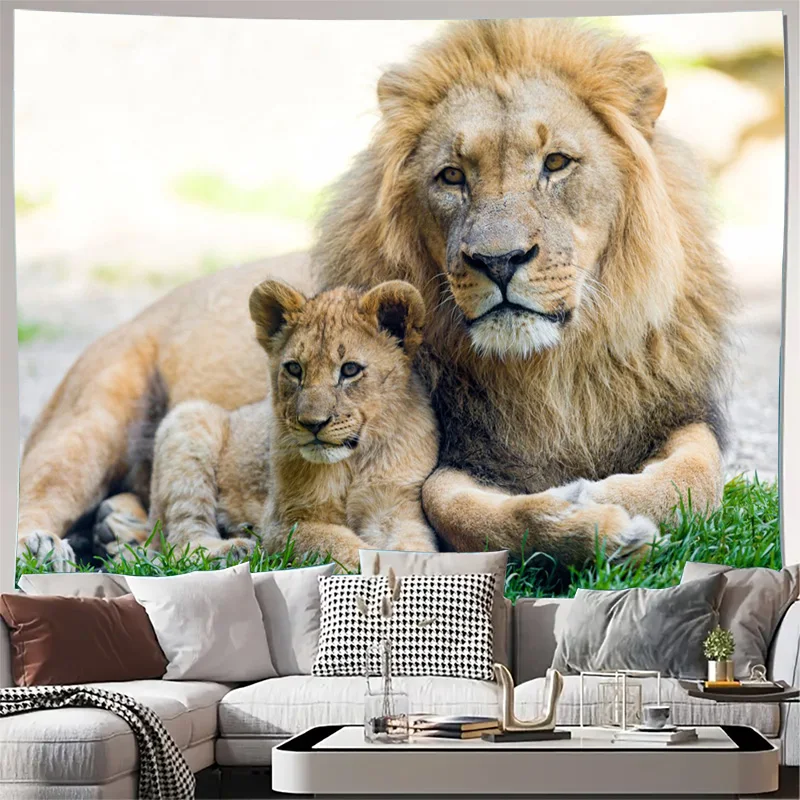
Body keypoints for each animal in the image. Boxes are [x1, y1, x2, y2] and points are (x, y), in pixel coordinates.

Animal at [103, 279, 438, 570]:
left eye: (350, 370)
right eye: (294, 369)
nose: (313, 424)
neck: (352, 463)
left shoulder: (395, 506)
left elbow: (414, 546)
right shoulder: (286, 523)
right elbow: (344, 547)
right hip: (190, 419)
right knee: (180, 541)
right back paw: (232, 549)